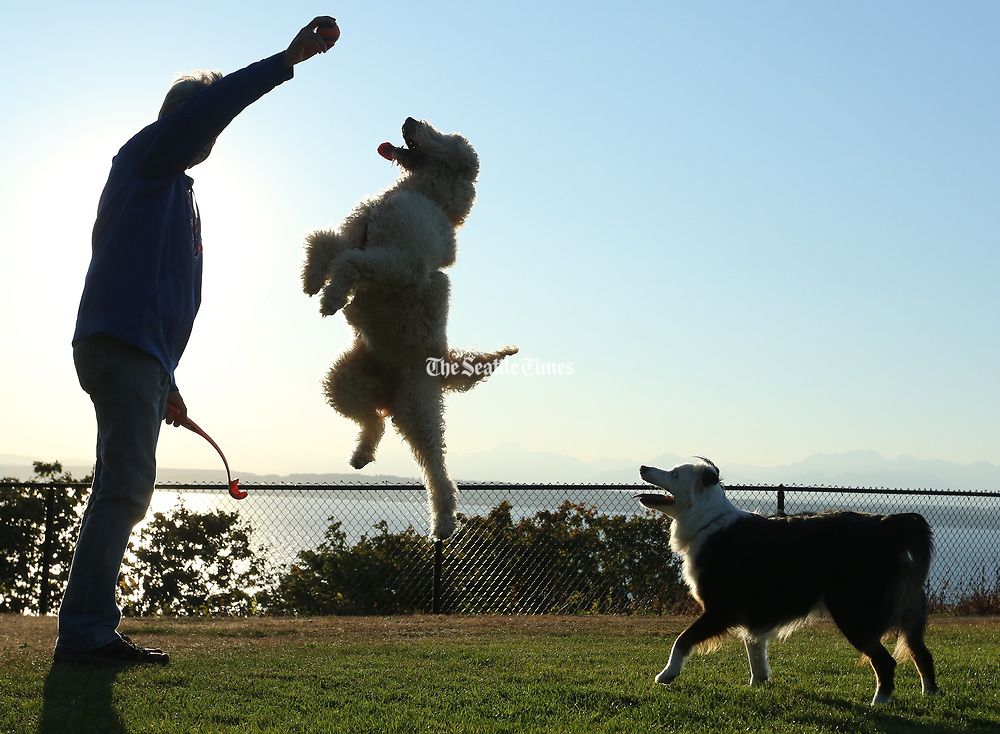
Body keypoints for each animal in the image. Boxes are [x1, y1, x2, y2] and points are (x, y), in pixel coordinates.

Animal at [640, 460, 936, 708]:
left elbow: (682, 639)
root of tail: (889, 526)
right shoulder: (751, 613)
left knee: (886, 661)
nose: (643, 467)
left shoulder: (720, 609)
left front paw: (666, 674)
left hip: (854, 614)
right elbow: (755, 648)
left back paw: (879, 703)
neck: (707, 521)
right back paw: (930, 697)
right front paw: (758, 683)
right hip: (909, 612)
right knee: (922, 653)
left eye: (674, 473)